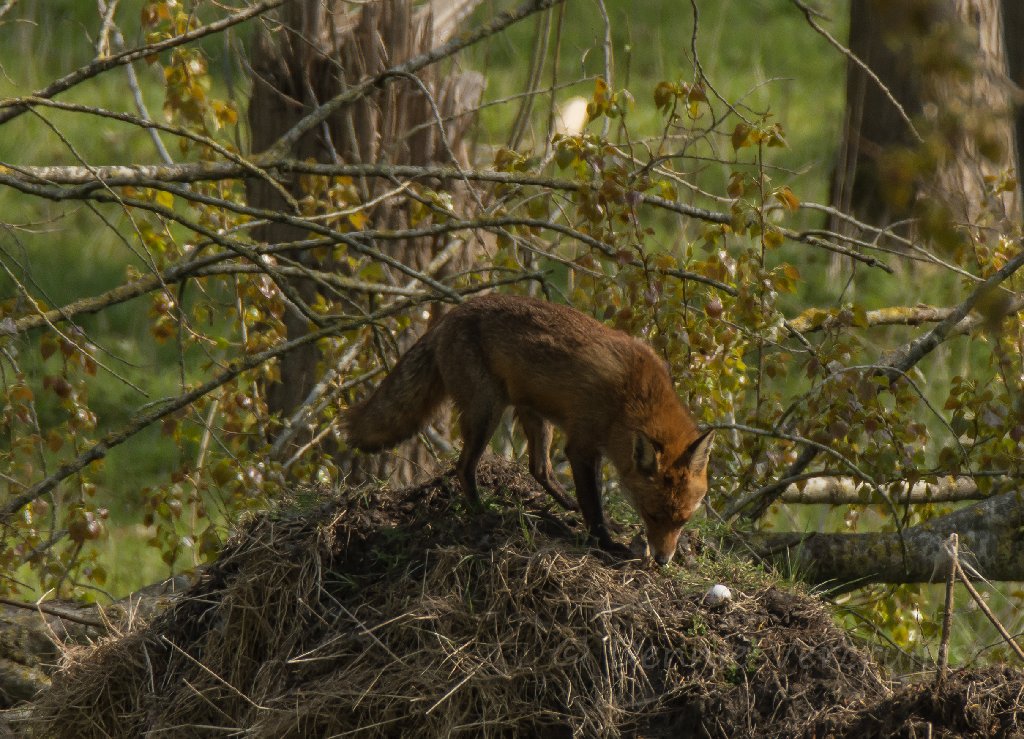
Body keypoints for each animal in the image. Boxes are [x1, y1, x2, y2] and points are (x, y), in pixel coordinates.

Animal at [344, 292, 712, 564]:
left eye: (682, 520)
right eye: (651, 515)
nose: (663, 561)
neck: (632, 397)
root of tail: (452, 313)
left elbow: (591, 500)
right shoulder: (581, 445)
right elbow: (594, 505)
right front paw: (605, 544)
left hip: (535, 417)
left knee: (539, 468)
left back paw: (565, 505)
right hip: (487, 411)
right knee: (465, 467)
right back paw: (482, 511)